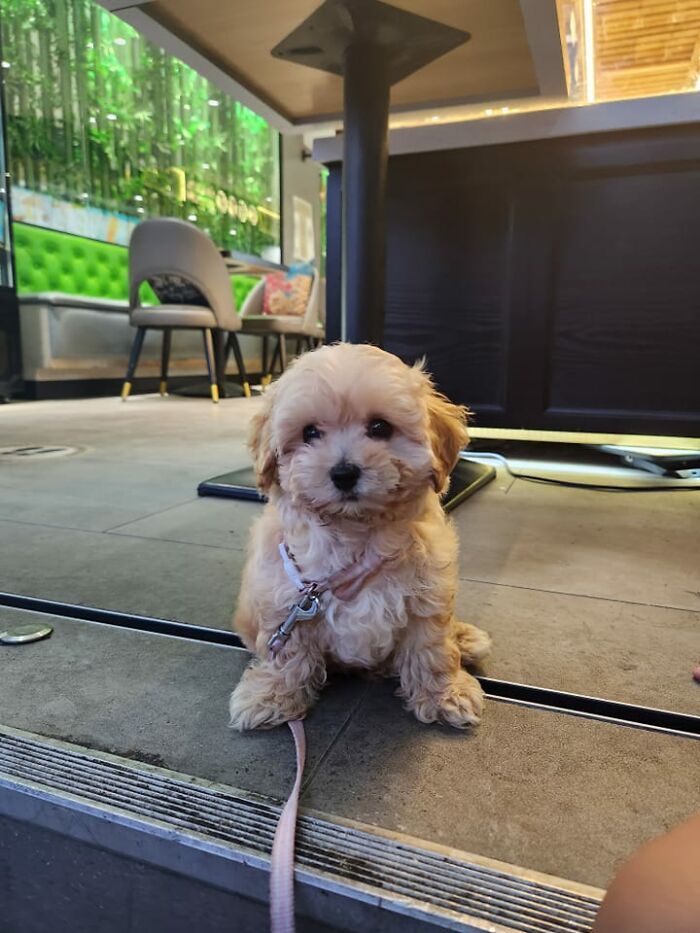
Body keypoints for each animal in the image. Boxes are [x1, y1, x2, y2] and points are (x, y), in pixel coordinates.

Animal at [227, 342, 490, 728]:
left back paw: (467, 638)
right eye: (309, 433)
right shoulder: (286, 598)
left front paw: (446, 694)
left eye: (380, 427)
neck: (356, 534)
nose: (344, 473)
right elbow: (287, 656)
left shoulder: (427, 593)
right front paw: (270, 696)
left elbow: (433, 649)